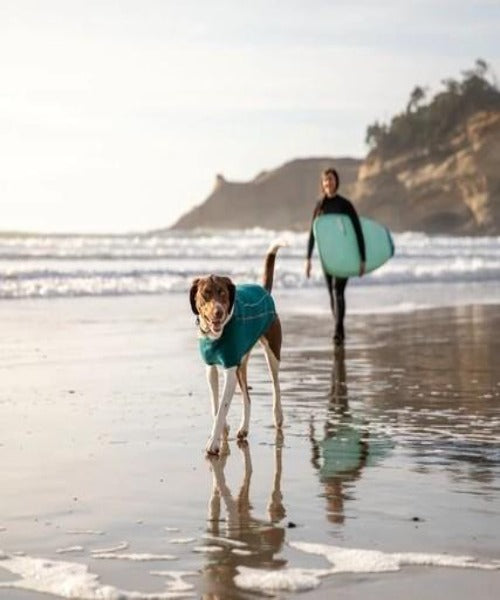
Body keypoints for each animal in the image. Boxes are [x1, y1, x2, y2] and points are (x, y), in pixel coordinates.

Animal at [190, 244, 283, 455]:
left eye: (222, 292)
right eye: (206, 293)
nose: (218, 312)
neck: (215, 336)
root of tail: (264, 290)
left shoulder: (230, 369)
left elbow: (223, 407)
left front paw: (214, 443)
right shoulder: (211, 368)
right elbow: (216, 405)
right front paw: (221, 429)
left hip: (271, 352)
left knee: (275, 385)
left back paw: (278, 416)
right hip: (242, 363)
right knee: (248, 397)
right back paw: (244, 428)